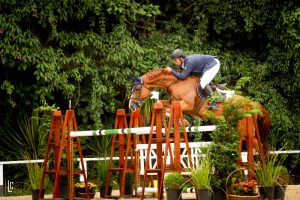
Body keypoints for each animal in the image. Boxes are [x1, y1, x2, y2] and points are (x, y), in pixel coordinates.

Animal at [127, 68, 270, 159]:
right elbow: (162, 104)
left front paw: (184, 122)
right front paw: (182, 122)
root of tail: (252, 104)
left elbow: (170, 108)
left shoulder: (187, 104)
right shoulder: (175, 102)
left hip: (245, 130)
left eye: (137, 88)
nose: (131, 106)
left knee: (259, 146)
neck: (176, 82)